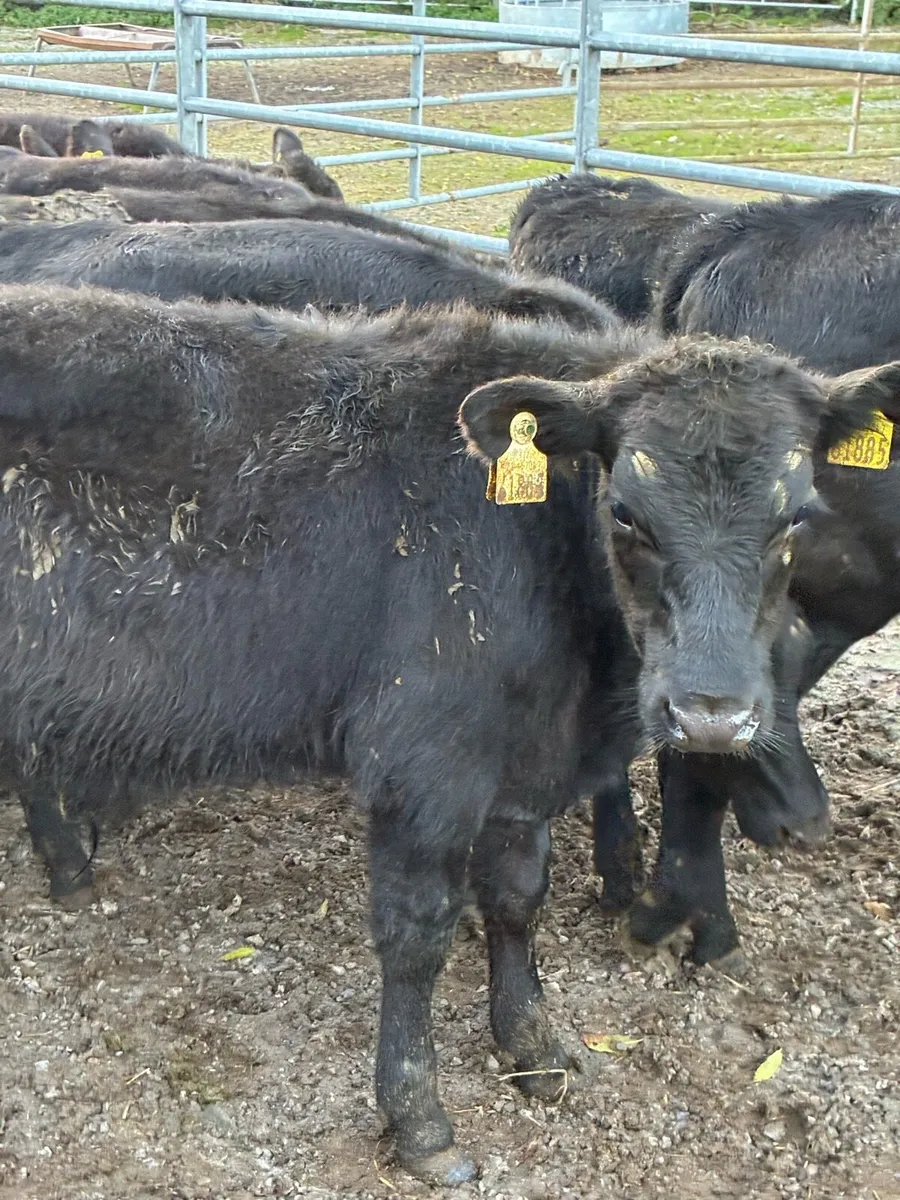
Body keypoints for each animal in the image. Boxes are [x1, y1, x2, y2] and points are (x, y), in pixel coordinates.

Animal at [1, 282, 895, 1182]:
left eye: (796, 517)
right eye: (625, 513)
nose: (710, 713)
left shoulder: (522, 771)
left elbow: (516, 898)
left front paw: (533, 1046)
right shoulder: (425, 764)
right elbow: (418, 933)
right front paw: (418, 1117)